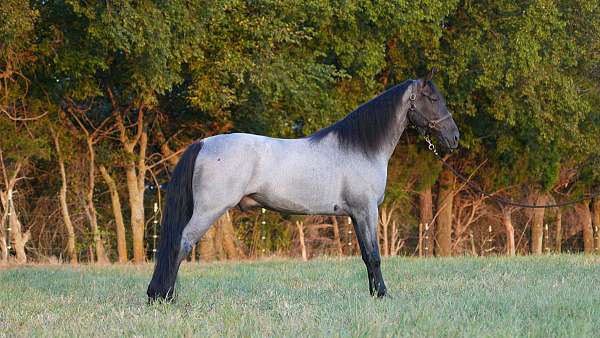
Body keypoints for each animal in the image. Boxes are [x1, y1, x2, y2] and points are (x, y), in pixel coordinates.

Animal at [148, 69, 458, 302]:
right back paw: (166, 297)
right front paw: (382, 295)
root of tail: (203, 143)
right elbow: (374, 255)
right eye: (433, 98)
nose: (454, 138)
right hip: (208, 211)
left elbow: (365, 256)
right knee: (181, 245)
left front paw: (374, 294)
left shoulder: (356, 214)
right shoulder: (366, 210)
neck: (361, 147)